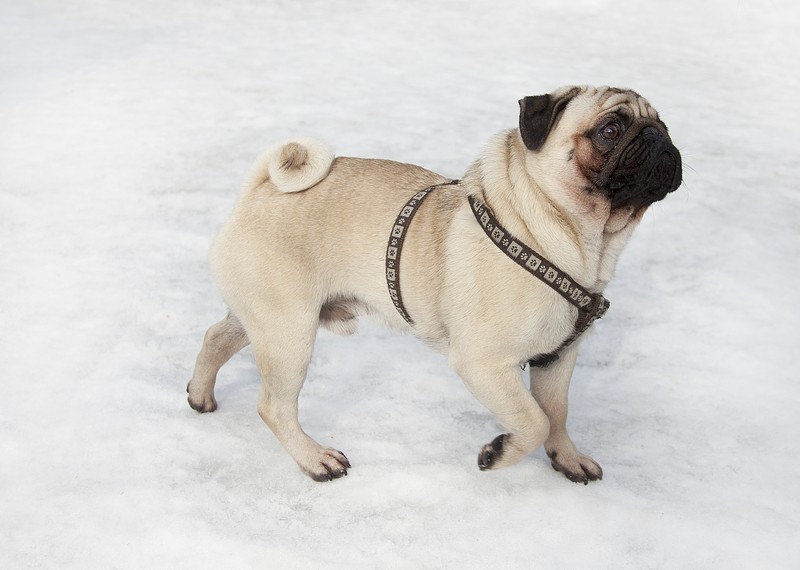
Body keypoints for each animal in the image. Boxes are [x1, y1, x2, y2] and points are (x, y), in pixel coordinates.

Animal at [186, 85, 680, 484]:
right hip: (289, 330)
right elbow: (534, 419)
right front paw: (498, 454)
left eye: (664, 125)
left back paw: (200, 395)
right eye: (610, 130)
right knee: (273, 405)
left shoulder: (557, 358)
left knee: (217, 335)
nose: (658, 137)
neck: (574, 241)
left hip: (266, 319)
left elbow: (556, 413)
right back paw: (314, 460)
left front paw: (567, 458)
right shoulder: (484, 364)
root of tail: (260, 189)